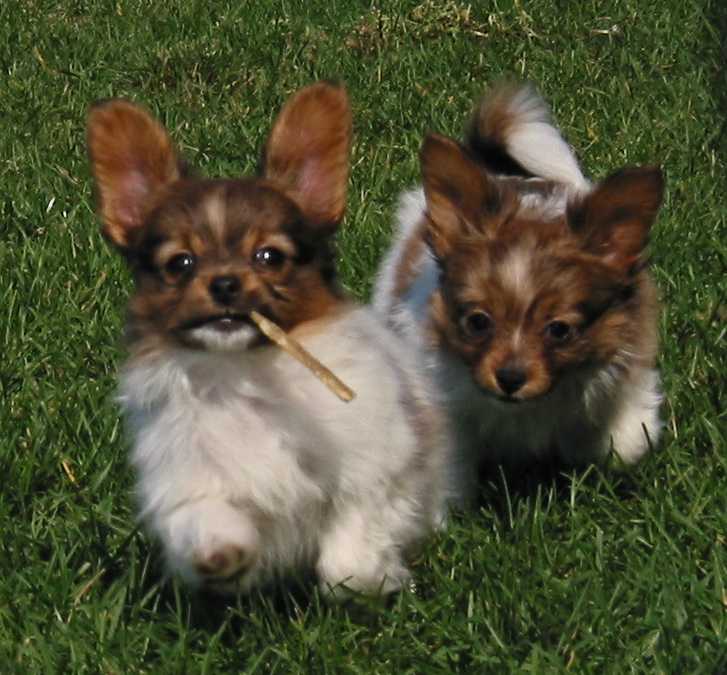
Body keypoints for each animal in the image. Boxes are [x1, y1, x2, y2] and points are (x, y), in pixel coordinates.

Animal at [87, 82, 454, 596]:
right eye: (180, 264)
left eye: (270, 257)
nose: (224, 283)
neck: (242, 373)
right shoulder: (185, 481)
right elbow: (207, 519)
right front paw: (222, 555)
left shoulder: (380, 466)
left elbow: (347, 557)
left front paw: (374, 578)